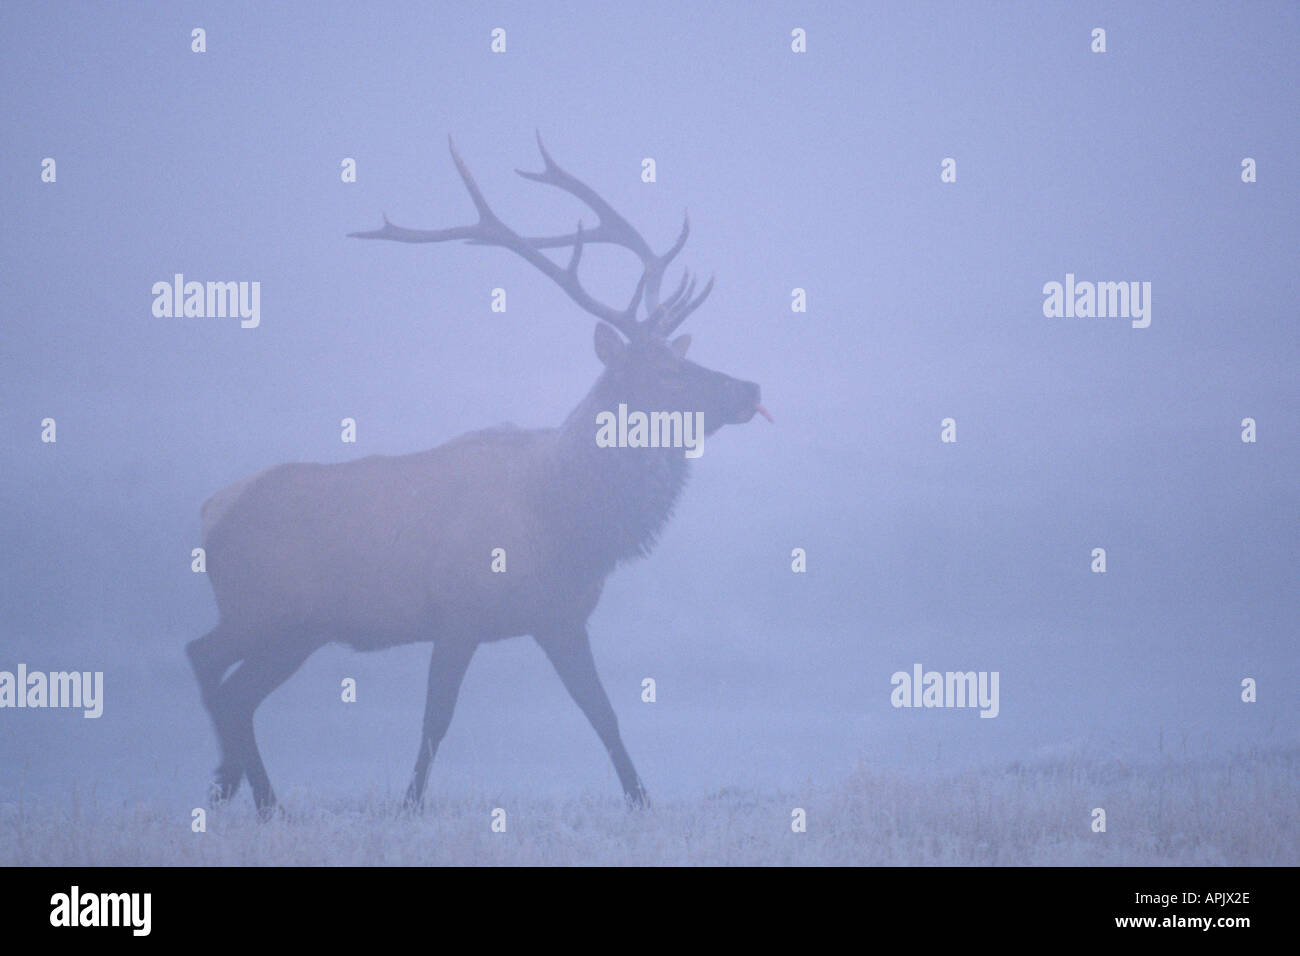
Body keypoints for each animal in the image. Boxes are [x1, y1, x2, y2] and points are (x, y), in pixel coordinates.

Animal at [188, 134, 764, 816]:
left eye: (684, 355)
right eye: (667, 373)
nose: (750, 389)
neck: (570, 518)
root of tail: (211, 511)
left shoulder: (560, 618)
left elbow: (604, 715)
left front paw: (642, 801)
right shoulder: (458, 614)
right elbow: (436, 722)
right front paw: (409, 807)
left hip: (294, 629)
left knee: (233, 688)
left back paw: (249, 795)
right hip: (265, 612)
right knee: (209, 664)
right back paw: (247, 792)